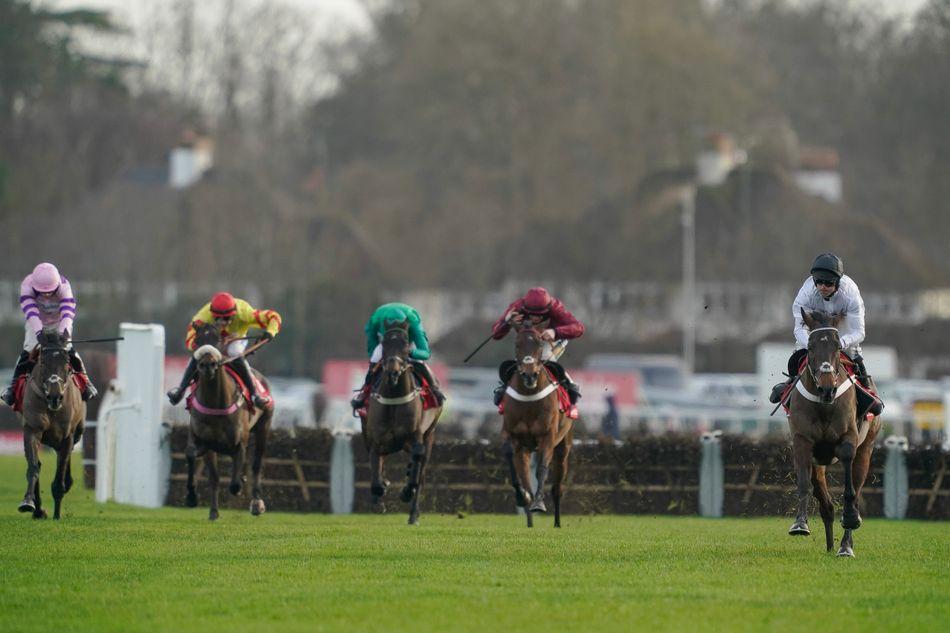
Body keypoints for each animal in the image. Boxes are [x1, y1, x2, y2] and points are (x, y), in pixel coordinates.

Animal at [17, 330, 85, 520]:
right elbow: (33, 467)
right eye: (43, 362)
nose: (55, 397)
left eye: (67, 363)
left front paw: (57, 515)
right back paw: (38, 510)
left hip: (77, 431)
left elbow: (60, 475)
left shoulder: (67, 437)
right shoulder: (32, 430)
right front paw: (28, 502)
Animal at [184, 324, 272, 520]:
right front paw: (200, 502)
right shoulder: (205, 443)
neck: (216, 403)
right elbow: (206, 469)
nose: (207, 365)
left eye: (218, 339)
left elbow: (234, 484)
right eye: (197, 340)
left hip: (264, 426)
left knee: (256, 464)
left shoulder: (239, 443)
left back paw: (256, 503)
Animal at [362, 320, 444, 524]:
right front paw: (381, 491)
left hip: (429, 436)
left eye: (406, 345)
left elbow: (416, 467)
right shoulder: (375, 439)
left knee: (420, 471)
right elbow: (376, 474)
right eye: (384, 345)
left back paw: (413, 513)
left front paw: (406, 491)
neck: (394, 397)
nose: (393, 370)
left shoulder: (416, 436)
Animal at [502, 324, 576, 524]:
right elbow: (514, 465)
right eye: (517, 344)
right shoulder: (514, 438)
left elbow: (542, 468)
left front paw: (539, 503)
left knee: (557, 487)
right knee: (526, 476)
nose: (529, 375)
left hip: (563, 446)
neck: (529, 399)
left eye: (539, 345)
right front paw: (523, 497)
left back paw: (557, 523)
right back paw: (529, 518)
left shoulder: (548, 437)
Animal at [788, 308, 884, 556]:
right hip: (819, 462)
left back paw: (844, 546)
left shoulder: (848, 439)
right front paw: (800, 523)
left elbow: (850, 491)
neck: (824, 404)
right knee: (826, 504)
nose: (827, 389)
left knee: (856, 491)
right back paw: (831, 546)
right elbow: (804, 484)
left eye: (837, 347)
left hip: (867, 448)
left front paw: (850, 518)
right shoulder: (802, 441)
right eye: (811, 346)